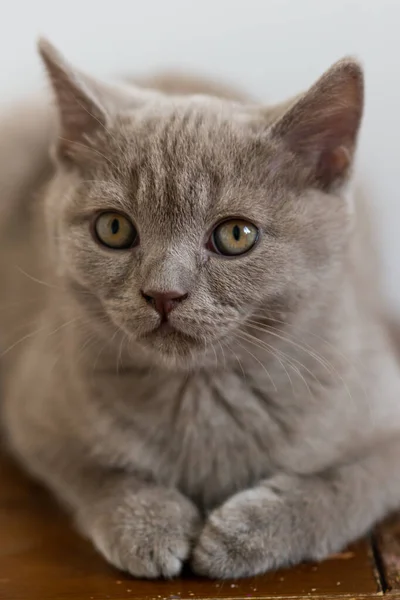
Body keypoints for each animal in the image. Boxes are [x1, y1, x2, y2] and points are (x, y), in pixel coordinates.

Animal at [0, 38, 400, 580]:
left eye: (236, 235)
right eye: (113, 228)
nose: (163, 294)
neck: (198, 392)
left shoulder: (385, 422)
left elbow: (345, 487)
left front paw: (242, 535)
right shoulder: (33, 413)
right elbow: (92, 471)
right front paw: (148, 525)